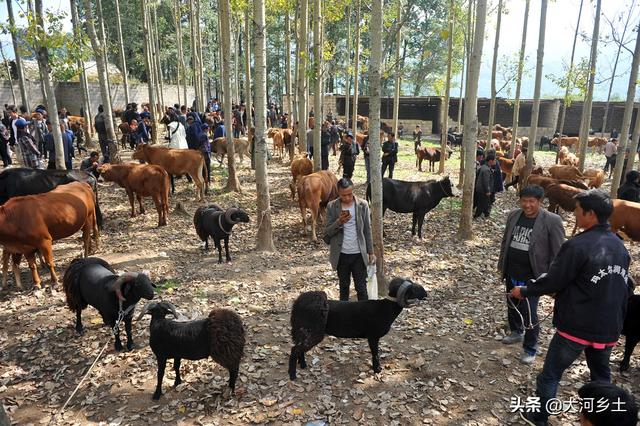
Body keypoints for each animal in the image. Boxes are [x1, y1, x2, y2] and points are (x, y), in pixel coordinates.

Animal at [288, 278, 428, 382]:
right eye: (413, 289)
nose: (426, 293)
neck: (386, 308)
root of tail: (297, 304)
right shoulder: (373, 336)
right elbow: (375, 353)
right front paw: (377, 370)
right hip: (313, 331)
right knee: (295, 349)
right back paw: (292, 375)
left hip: (305, 331)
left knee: (299, 348)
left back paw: (303, 366)